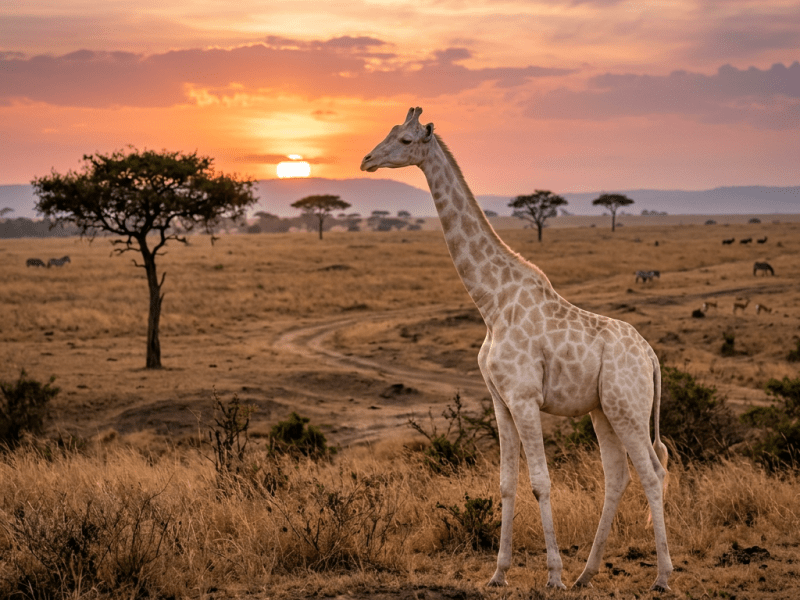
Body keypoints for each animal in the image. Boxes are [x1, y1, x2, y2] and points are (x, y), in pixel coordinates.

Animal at [361, 108, 672, 592]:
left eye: (407, 140)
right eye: (389, 132)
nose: (367, 160)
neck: (491, 302)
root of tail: (650, 356)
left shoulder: (525, 398)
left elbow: (541, 481)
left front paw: (552, 576)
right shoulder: (500, 400)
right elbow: (506, 482)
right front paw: (499, 573)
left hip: (629, 407)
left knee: (653, 474)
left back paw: (660, 576)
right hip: (603, 410)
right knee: (618, 476)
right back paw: (587, 574)